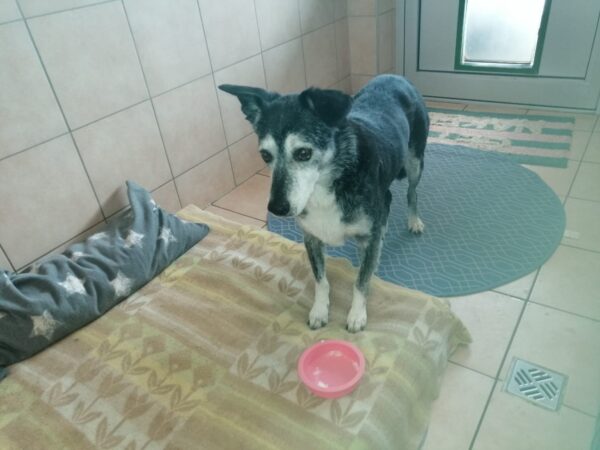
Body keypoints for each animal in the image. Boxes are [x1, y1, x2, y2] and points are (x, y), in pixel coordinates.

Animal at [219, 75, 429, 332]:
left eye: (303, 153)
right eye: (265, 155)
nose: (277, 208)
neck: (326, 185)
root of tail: (395, 76)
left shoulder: (367, 241)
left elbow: (361, 281)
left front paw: (356, 315)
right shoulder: (311, 238)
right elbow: (320, 279)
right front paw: (319, 310)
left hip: (415, 160)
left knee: (411, 192)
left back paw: (414, 221)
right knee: (388, 198)